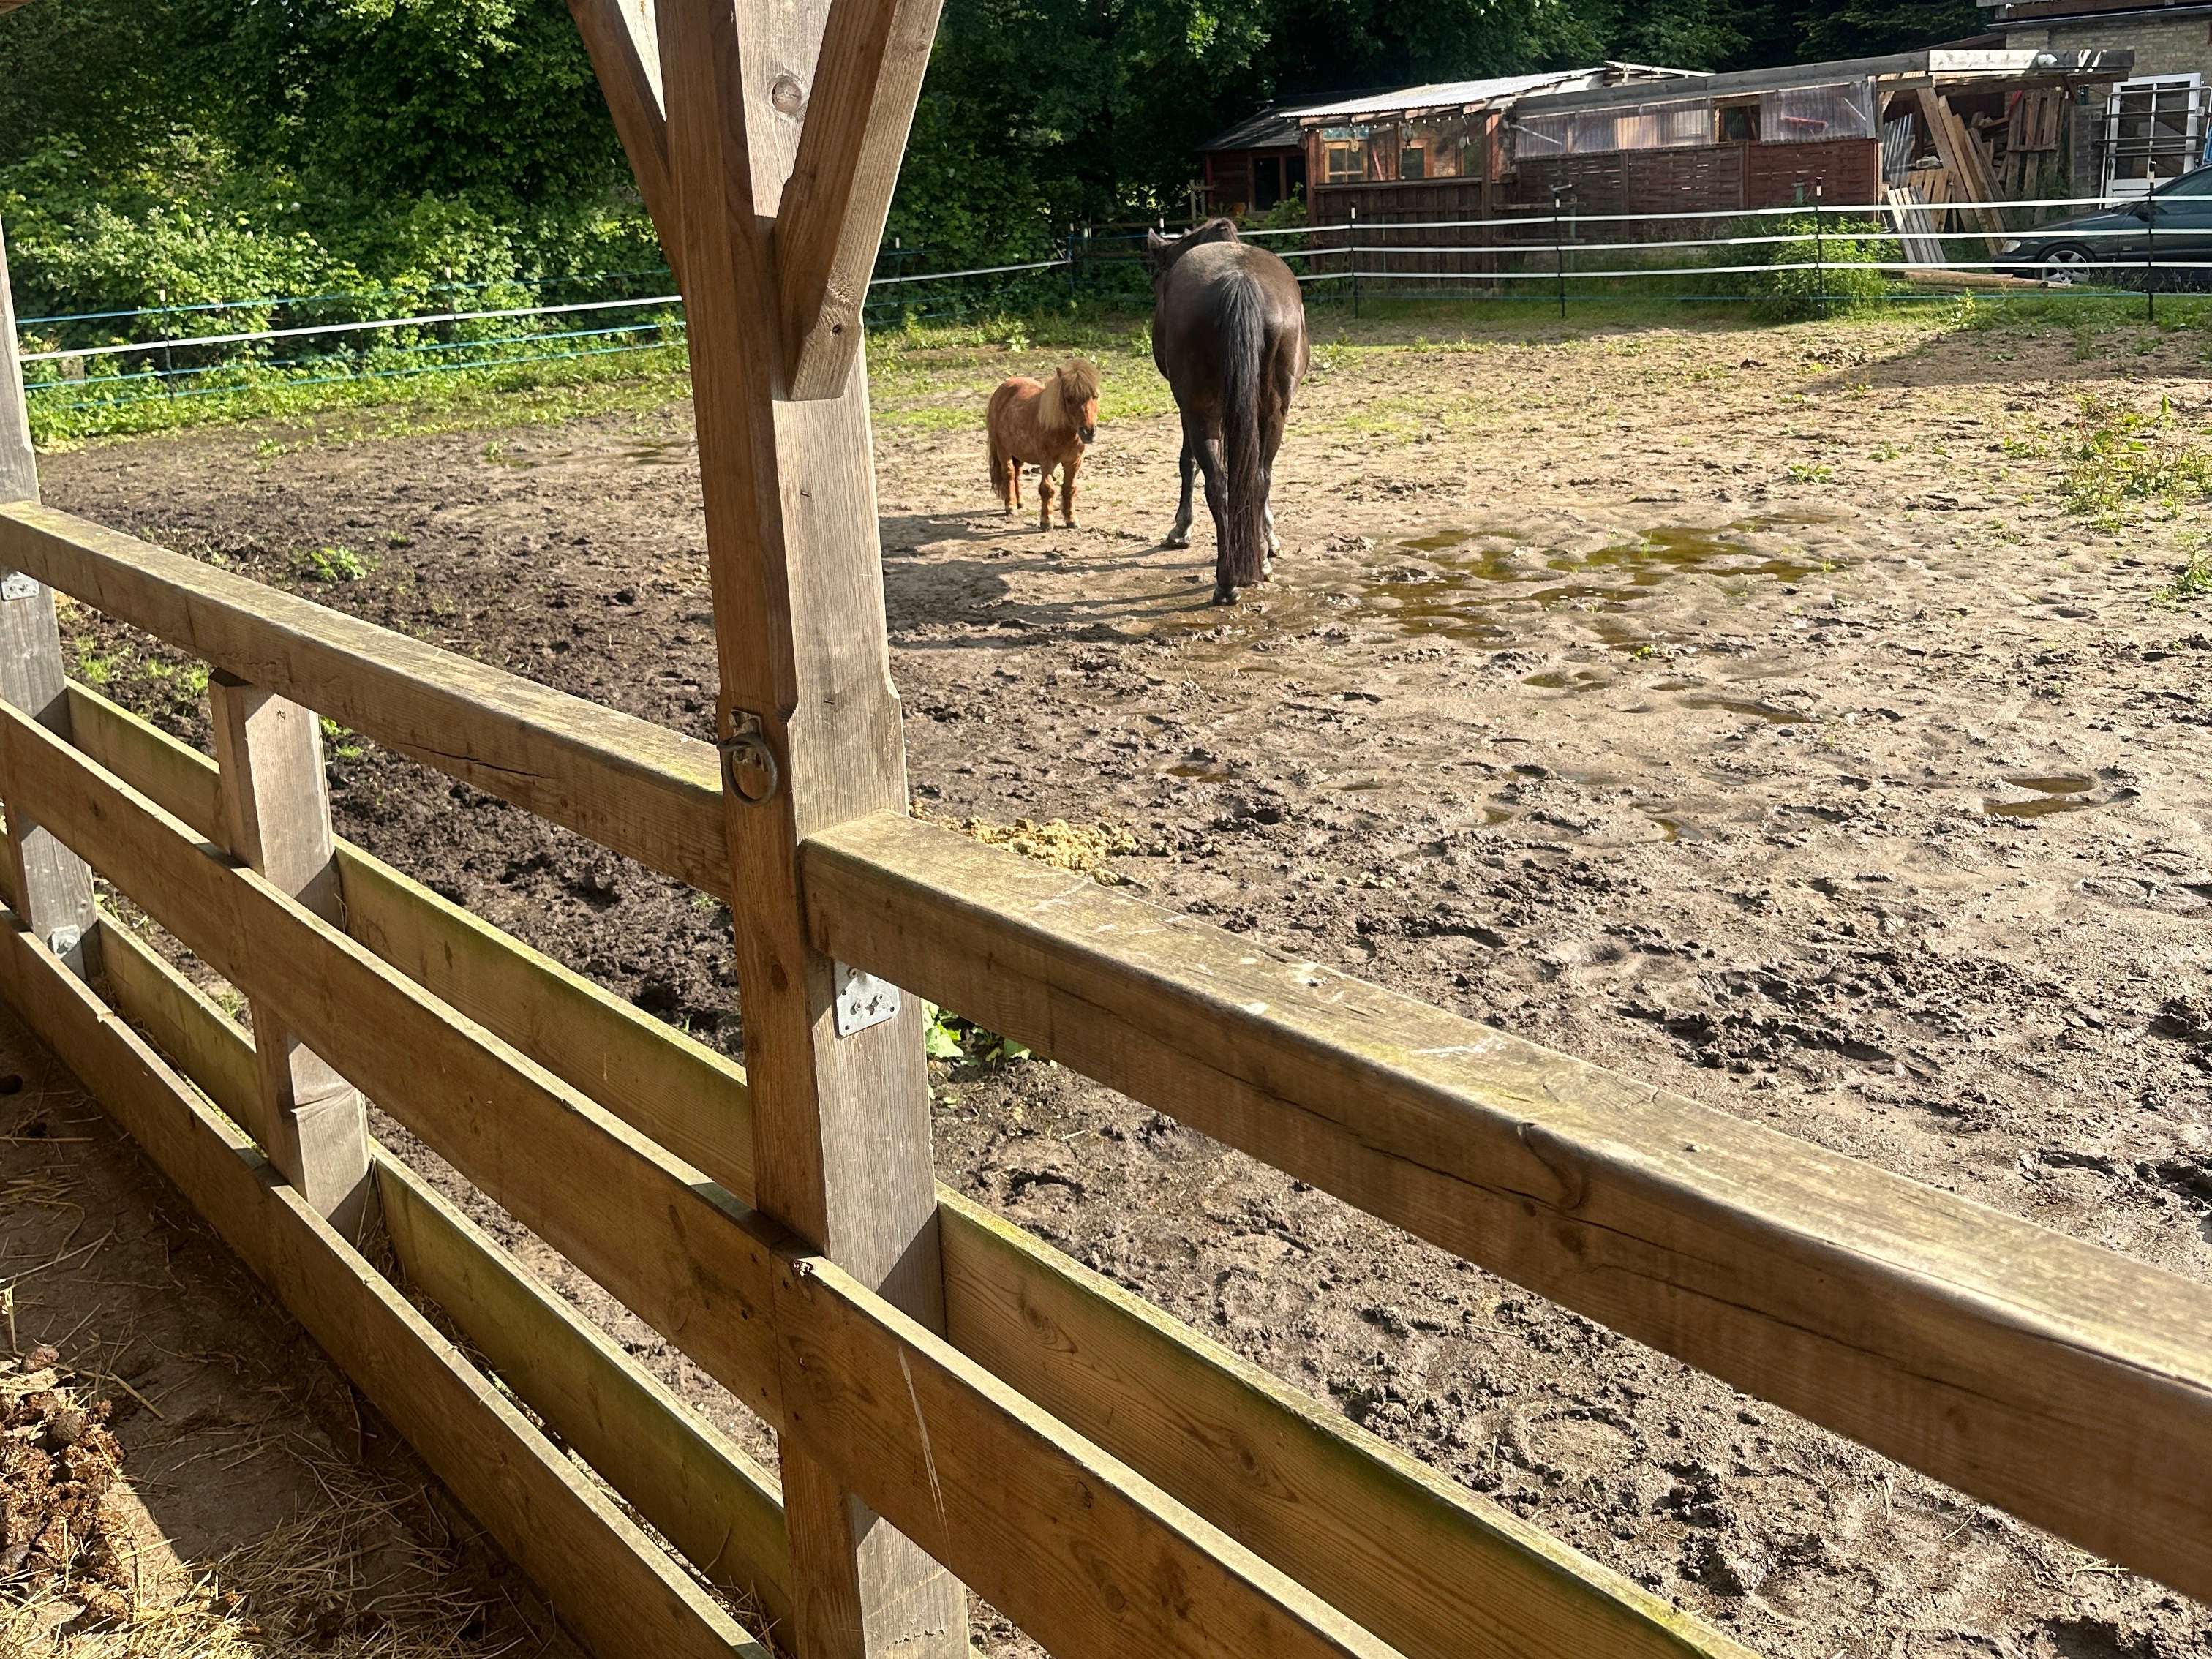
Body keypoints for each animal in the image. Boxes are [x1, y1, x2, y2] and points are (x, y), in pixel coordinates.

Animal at [986, 358, 1101, 530]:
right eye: (1068, 398)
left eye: (1096, 396)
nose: (1088, 432)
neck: (1062, 431)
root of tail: (1002, 389)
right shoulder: (1047, 462)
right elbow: (1047, 488)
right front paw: (1046, 521)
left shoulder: (1074, 462)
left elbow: (1069, 489)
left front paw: (1072, 520)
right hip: (1003, 449)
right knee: (1009, 473)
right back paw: (1011, 506)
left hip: (1018, 452)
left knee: (1017, 474)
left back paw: (1020, 503)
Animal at [1144, 218, 1308, 604]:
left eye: (1156, 273)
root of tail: (1239, 280)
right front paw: (1268, 541)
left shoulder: (1186, 407)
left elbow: (1186, 461)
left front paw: (1180, 528)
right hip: (1273, 412)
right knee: (1257, 477)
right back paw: (1253, 564)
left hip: (1199, 410)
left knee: (1218, 483)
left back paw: (1227, 580)